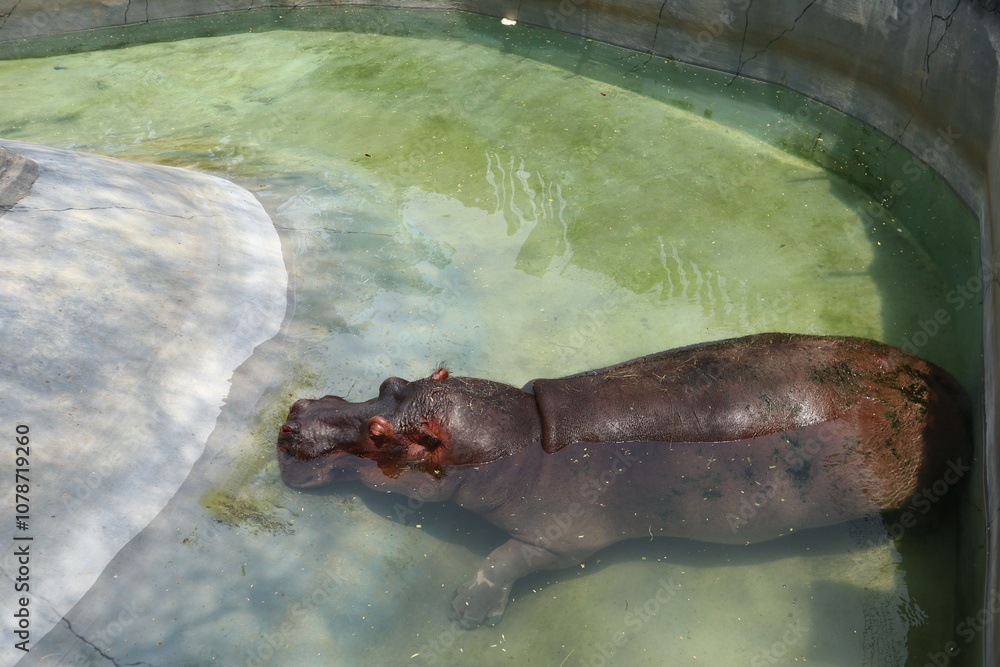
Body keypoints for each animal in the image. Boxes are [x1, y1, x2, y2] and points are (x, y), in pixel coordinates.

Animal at [276, 332, 972, 628]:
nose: (297, 417)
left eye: (379, 438)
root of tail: (954, 393)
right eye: (389, 382)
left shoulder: (563, 539)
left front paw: (468, 612)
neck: (520, 433)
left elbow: (505, 560)